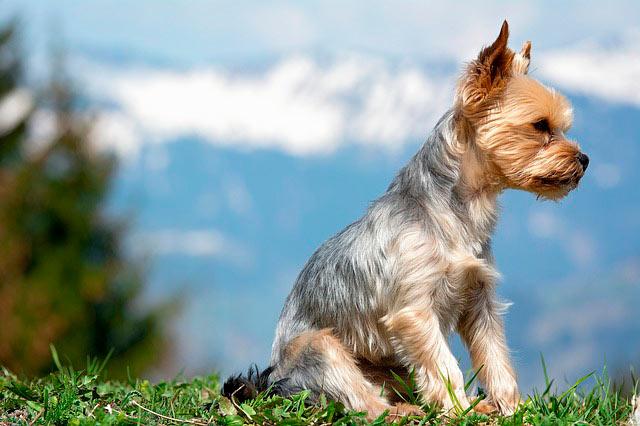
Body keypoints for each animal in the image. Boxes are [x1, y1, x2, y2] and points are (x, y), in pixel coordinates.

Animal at [222, 20, 588, 420]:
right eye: (540, 125)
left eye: (561, 126)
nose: (584, 160)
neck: (458, 209)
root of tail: (273, 383)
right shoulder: (415, 311)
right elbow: (444, 366)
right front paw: (459, 411)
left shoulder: (479, 298)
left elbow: (495, 355)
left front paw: (509, 407)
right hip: (321, 349)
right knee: (361, 402)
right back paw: (402, 411)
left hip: (392, 366)